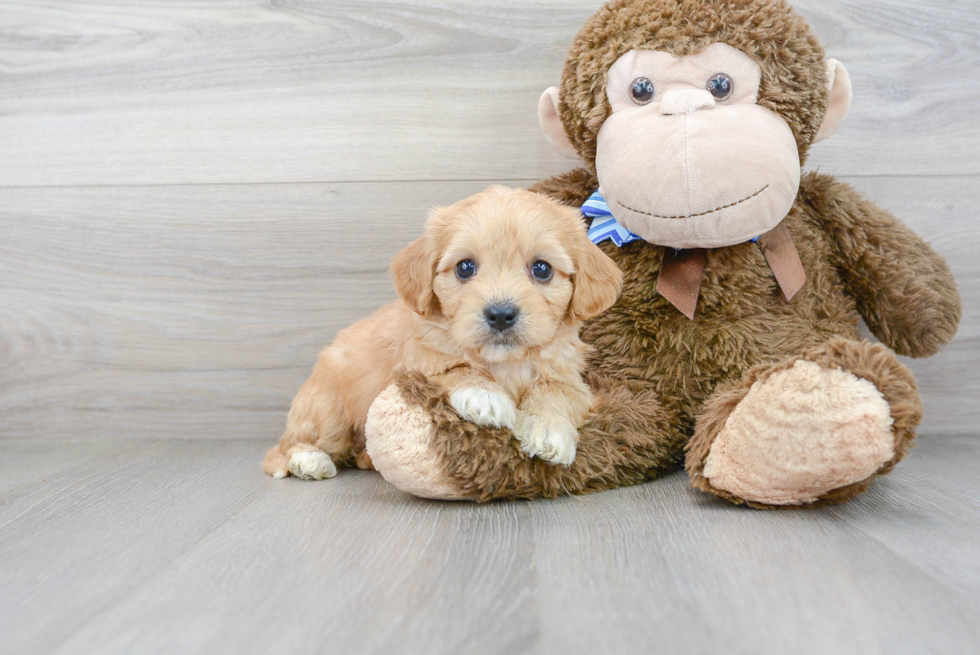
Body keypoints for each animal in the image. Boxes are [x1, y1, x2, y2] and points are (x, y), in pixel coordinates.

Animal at [262, 187, 620, 480]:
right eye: (465, 267)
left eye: (542, 269)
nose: (500, 314)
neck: (503, 363)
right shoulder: (415, 364)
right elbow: (452, 369)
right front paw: (484, 395)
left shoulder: (571, 379)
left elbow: (555, 391)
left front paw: (547, 428)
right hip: (327, 411)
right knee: (284, 447)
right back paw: (309, 461)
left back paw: (366, 458)